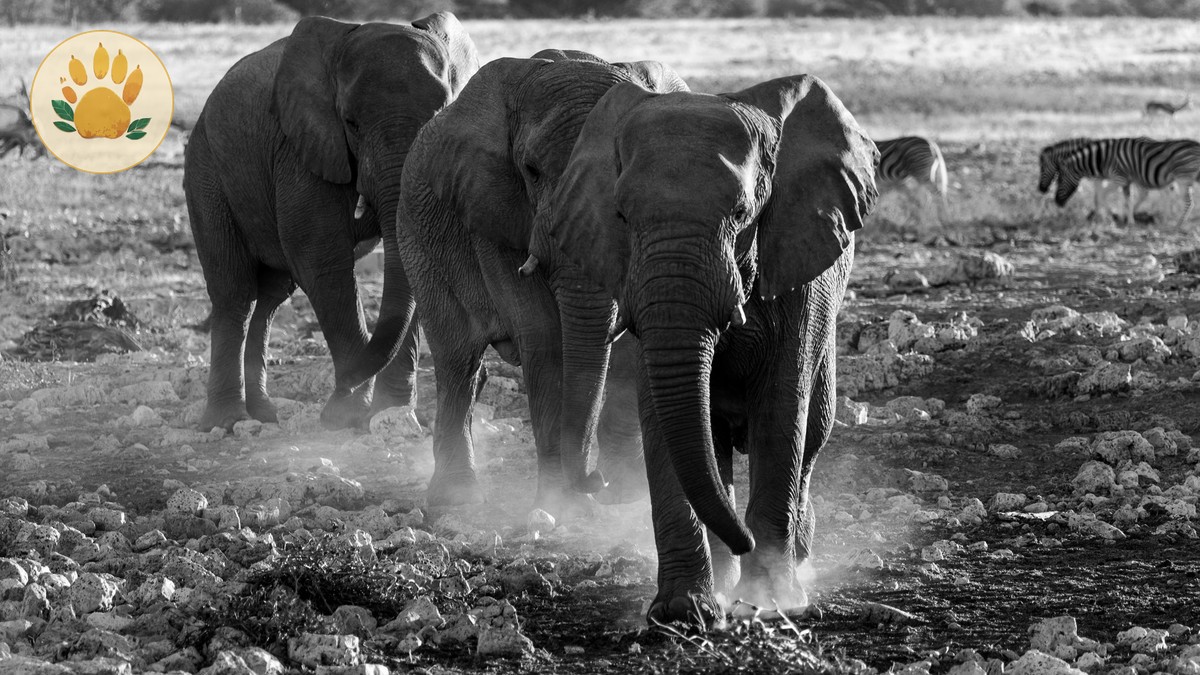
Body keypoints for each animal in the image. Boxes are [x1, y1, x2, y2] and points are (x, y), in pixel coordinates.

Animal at [184, 13, 479, 431]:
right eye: (351, 123)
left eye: (440, 116)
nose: (335, 395)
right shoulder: (300, 147)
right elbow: (323, 261)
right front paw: (346, 416)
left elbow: (416, 259)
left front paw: (392, 415)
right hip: (206, 169)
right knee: (234, 293)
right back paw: (226, 422)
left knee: (271, 296)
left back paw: (265, 414)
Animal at [394, 52, 686, 510]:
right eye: (531, 171)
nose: (594, 480)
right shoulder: (493, 209)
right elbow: (543, 333)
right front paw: (560, 506)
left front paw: (623, 496)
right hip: (416, 238)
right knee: (458, 358)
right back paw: (456, 499)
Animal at [529, 74, 878, 624]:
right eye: (621, 216)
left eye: (742, 213)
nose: (597, 482)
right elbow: (662, 417)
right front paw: (681, 610)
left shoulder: (798, 267)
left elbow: (781, 408)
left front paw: (770, 602)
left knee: (812, 433)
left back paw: (794, 562)